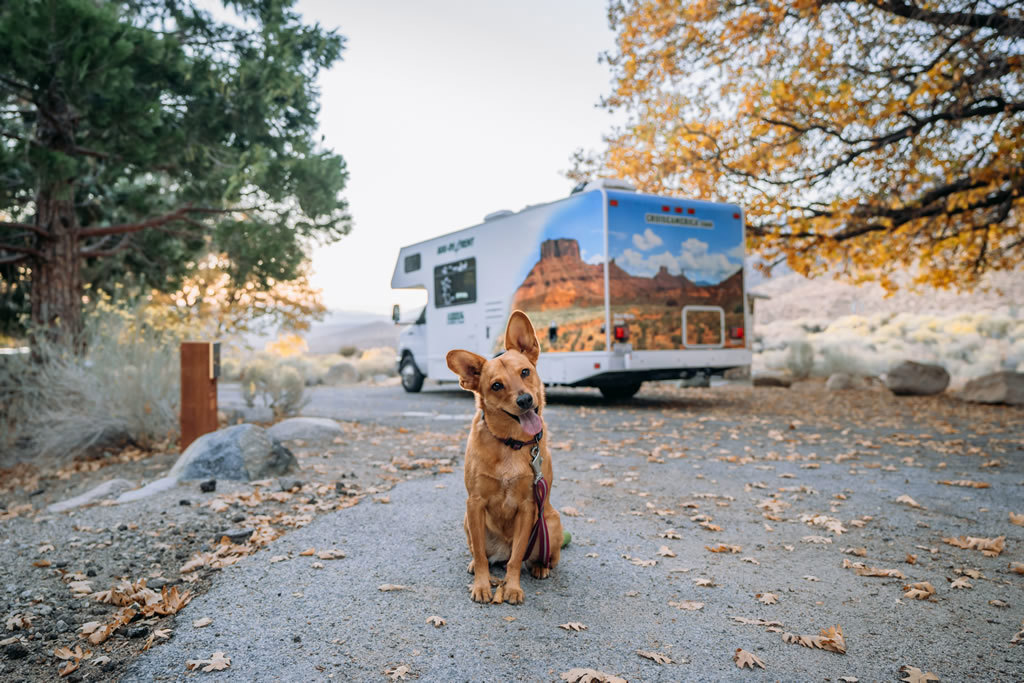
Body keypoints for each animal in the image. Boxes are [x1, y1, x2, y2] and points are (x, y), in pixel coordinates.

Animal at [444, 309, 565, 602]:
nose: (525, 400)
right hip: (467, 521)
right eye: (497, 385)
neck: (511, 443)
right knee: (483, 555)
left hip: (551, 520)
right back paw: (477, 566)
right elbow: (480, 553)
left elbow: (517, 558)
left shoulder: (528, 507)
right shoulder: (474, 504)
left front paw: (512, 587)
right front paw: (481, 584)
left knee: (539, 556)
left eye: (525, 372)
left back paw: (540, 566)